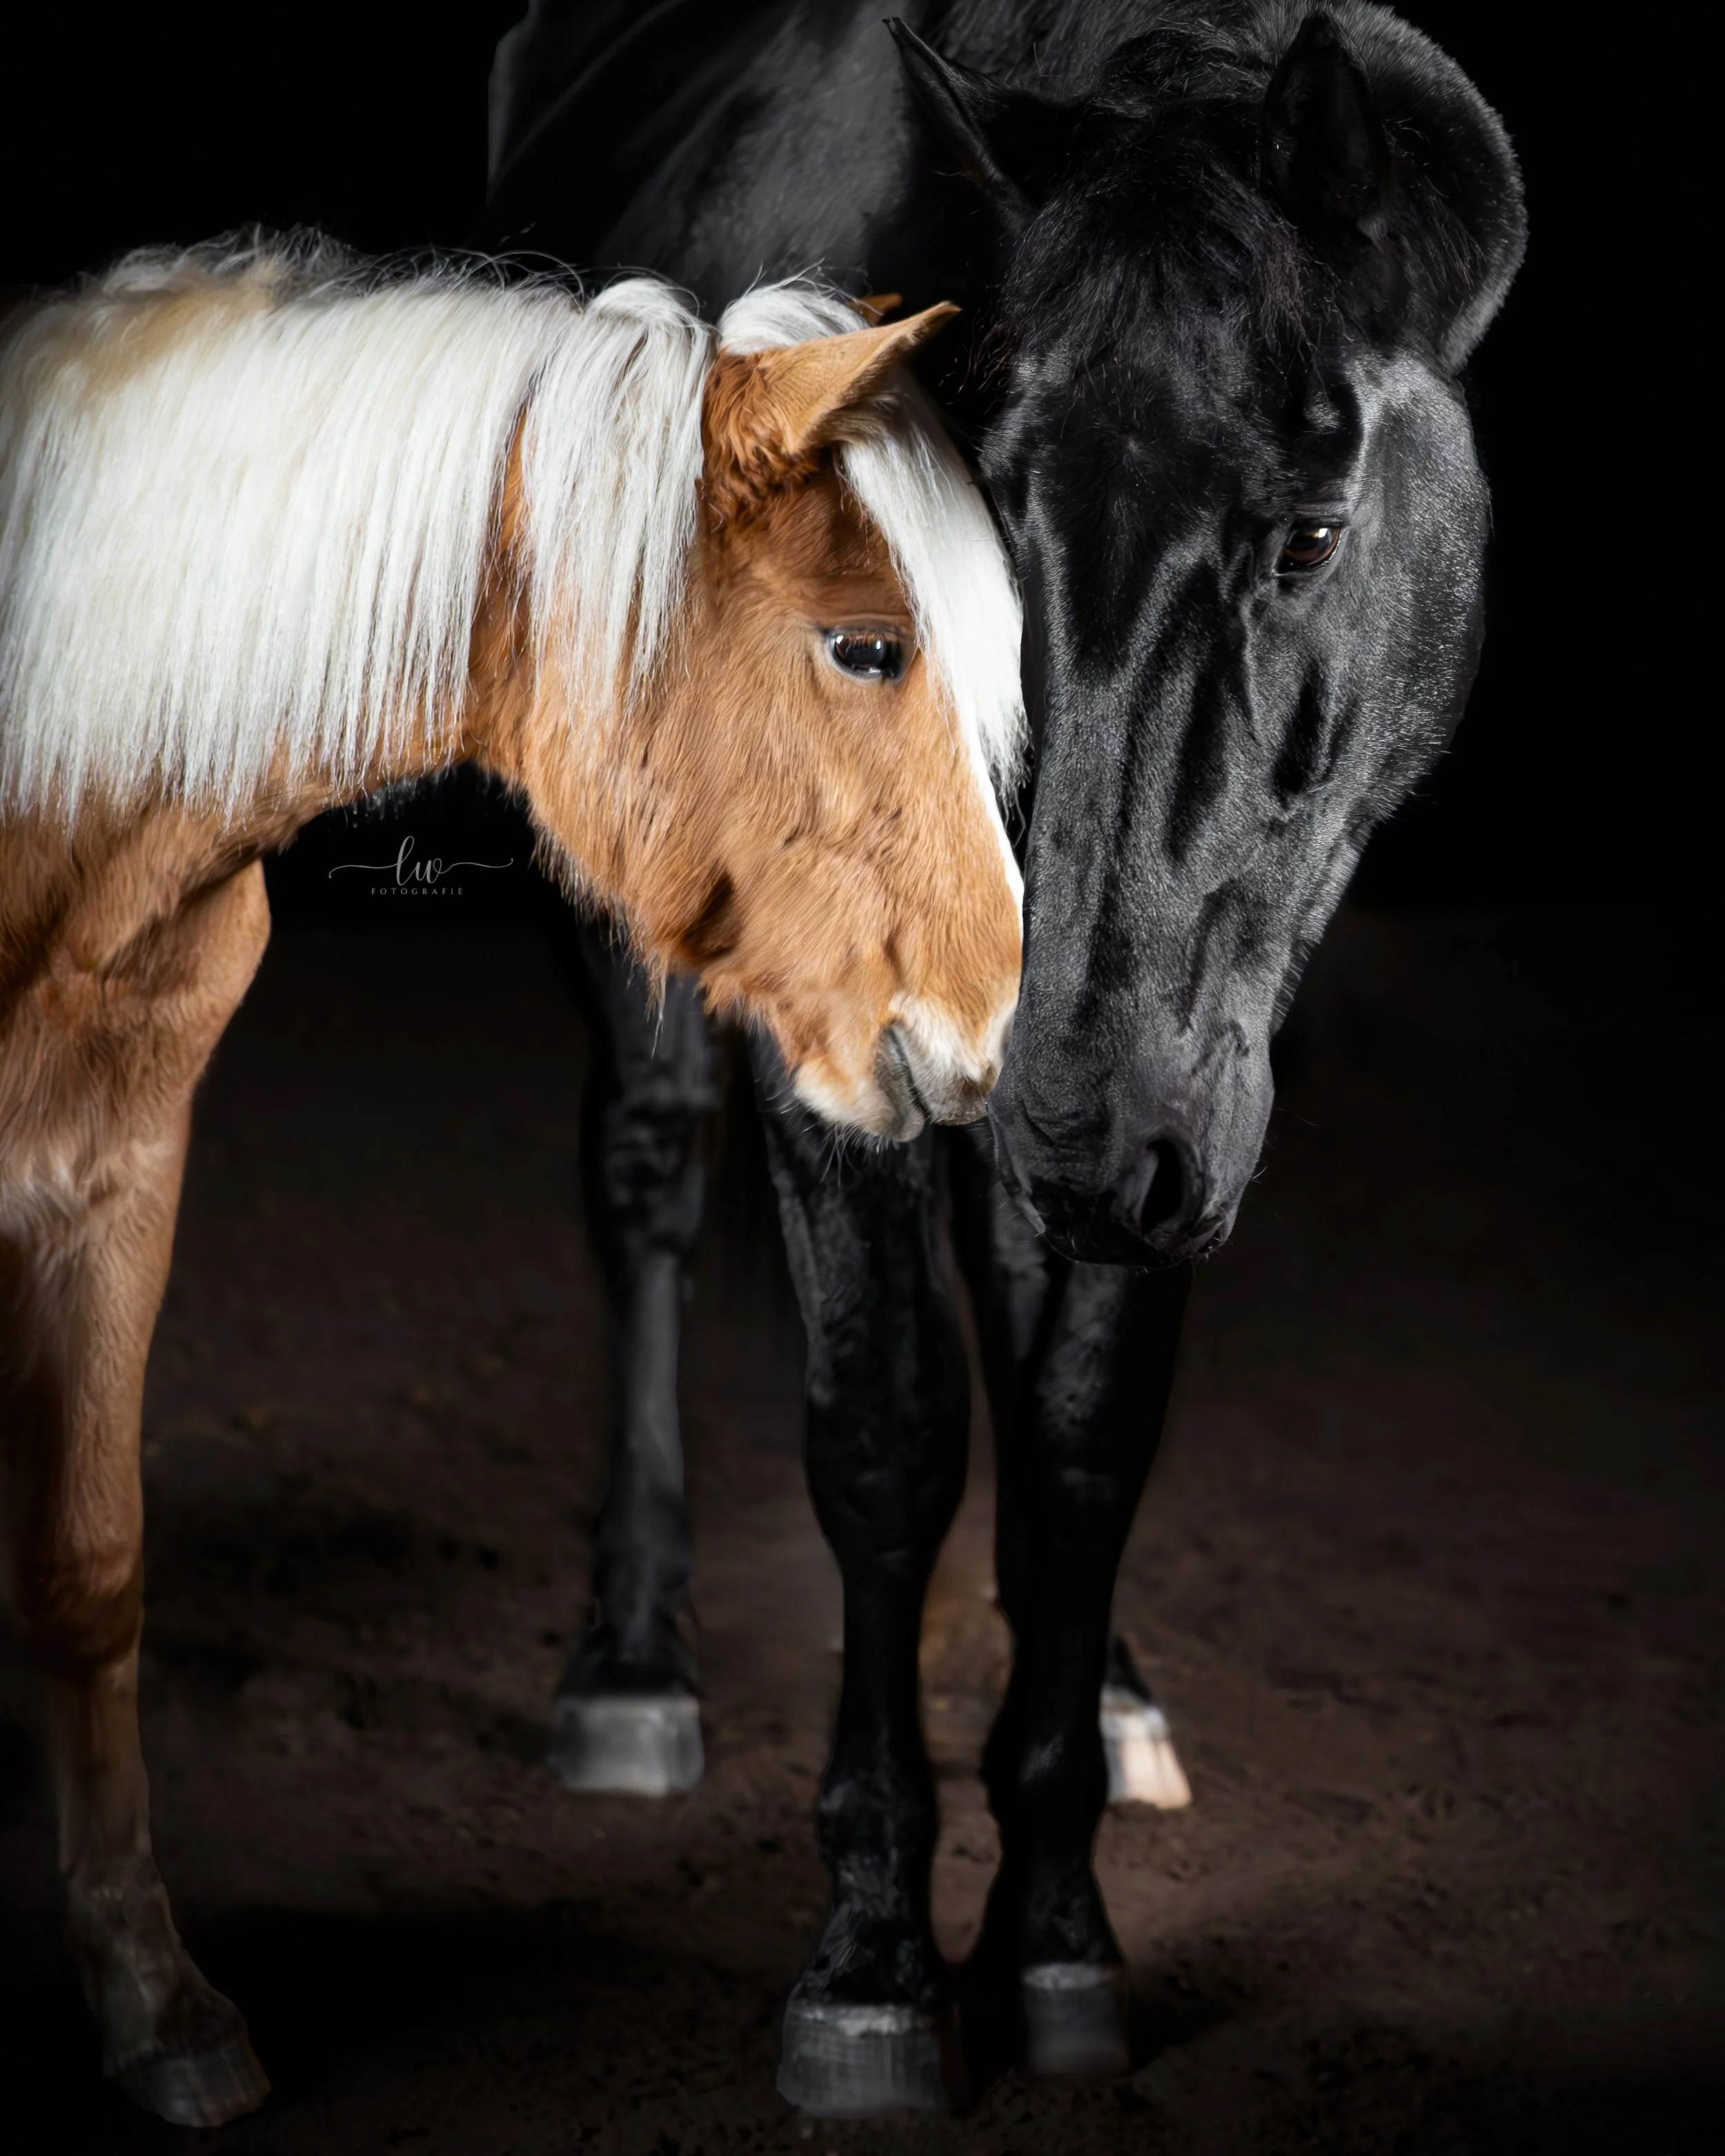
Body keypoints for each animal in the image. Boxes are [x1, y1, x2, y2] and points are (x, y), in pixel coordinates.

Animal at [487, 0, 1524, 2116]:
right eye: (971, 522)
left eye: (1311, 531)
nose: (1070, 1126)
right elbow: (888, 1432)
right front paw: (876, 1957)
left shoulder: (1196, 1063)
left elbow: (1081, 1431)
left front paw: (1052, 1920)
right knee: (643, 1165)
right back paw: (629, 1661)